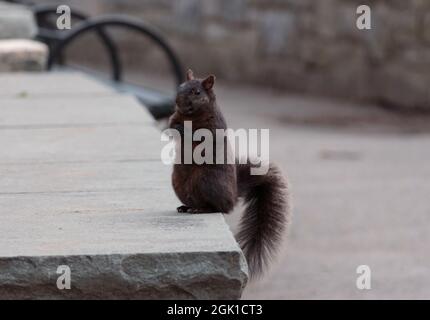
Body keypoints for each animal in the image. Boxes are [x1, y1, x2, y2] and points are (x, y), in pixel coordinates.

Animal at [168, 69, 288, 278]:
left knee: (220, 208)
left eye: (197, 92)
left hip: (207, 180)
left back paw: (202, 209)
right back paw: (186, 207)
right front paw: (175, 129)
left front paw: (186, 131)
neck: (191, 116)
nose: (178, 101)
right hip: (179, 182)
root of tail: (233, 195)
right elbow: (171, 124)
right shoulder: (175, 116)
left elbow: (203, 137)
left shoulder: (214, 127)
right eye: (180, 86)